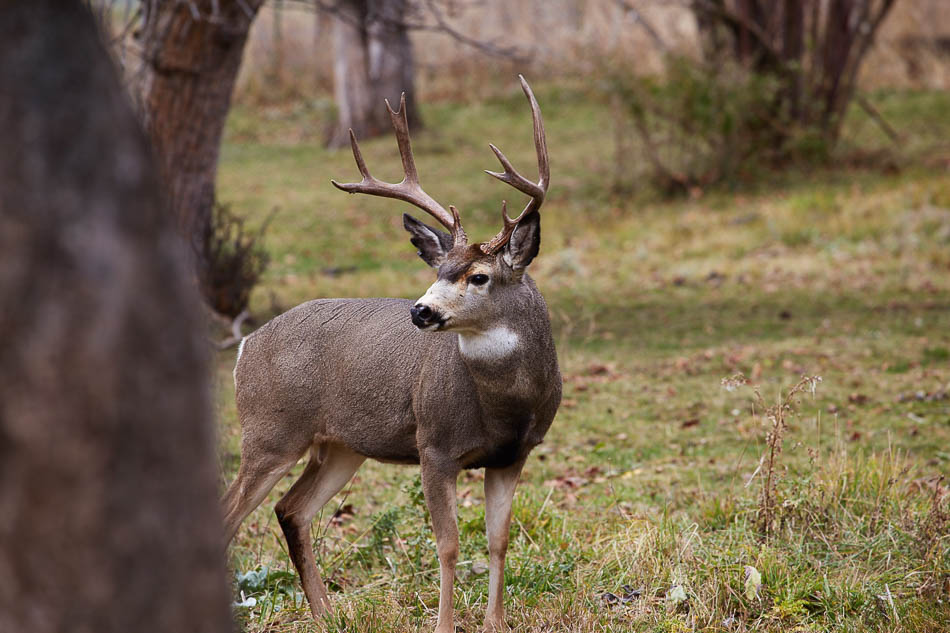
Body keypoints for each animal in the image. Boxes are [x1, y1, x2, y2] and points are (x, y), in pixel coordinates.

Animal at [222, 76, 561, 633]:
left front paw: (495, 622)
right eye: (439, 270)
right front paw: (445, 625)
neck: (504, 405)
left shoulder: (514, 455)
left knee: (292, 510)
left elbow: (498, 540)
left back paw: (328, 614)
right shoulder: (435, 444)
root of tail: (245, 345)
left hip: (340, 445)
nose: (421, 311)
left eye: (478, 276)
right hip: (270, 430)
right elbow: (448, 545)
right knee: (230, 515)